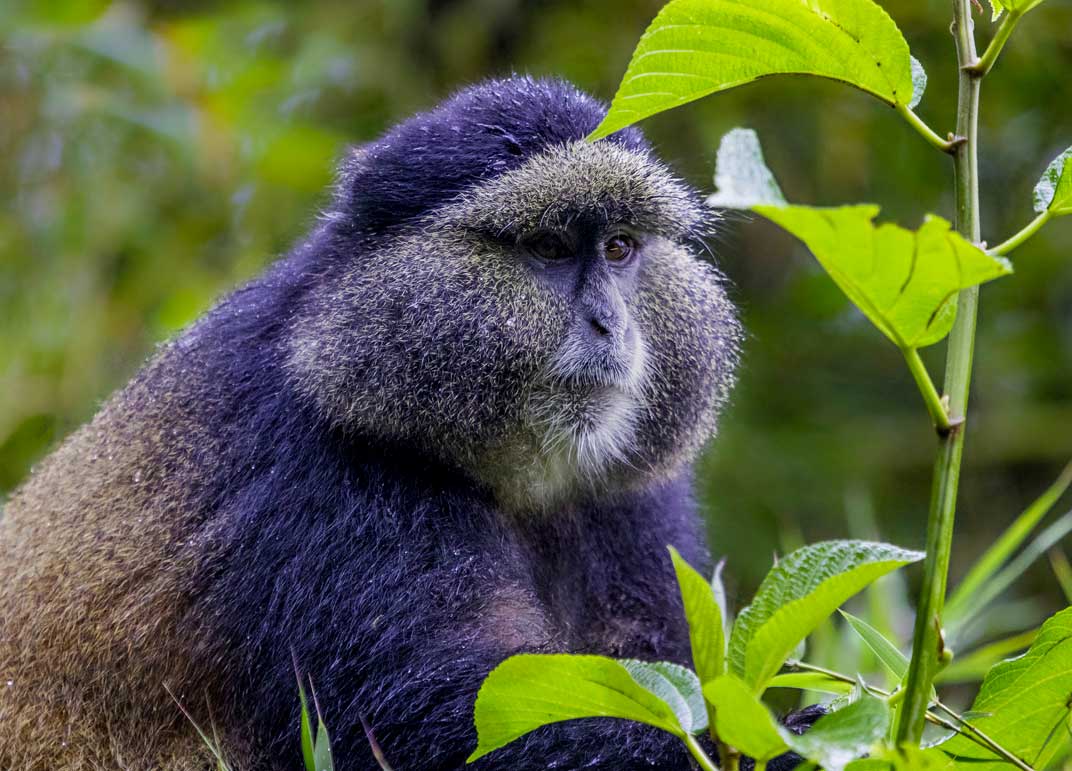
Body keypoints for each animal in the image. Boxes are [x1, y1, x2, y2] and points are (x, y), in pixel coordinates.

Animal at [0, 76, 816, 770]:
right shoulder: (320, 478)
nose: (609, 323)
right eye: (549, 248)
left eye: (620, 248)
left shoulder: (628, 496)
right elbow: (447, 715)